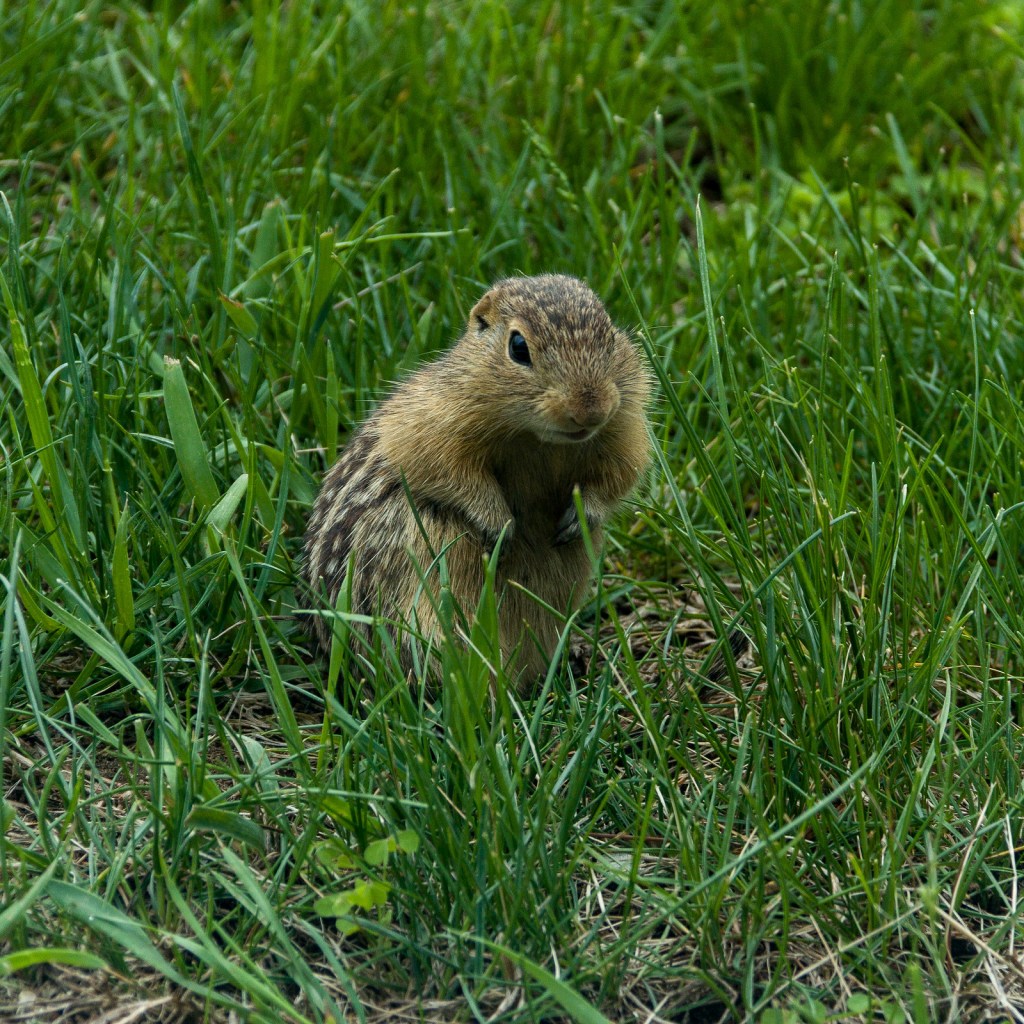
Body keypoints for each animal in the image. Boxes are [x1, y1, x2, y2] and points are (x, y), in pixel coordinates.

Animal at [302, 273, 652, 681]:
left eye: (609, 335)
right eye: (518, 347)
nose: (590, 409)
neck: (537, 439)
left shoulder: (624, 428)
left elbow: (620, 473)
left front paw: (582, 516)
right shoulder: (431, 424)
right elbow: (452, 473)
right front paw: (499, 524)